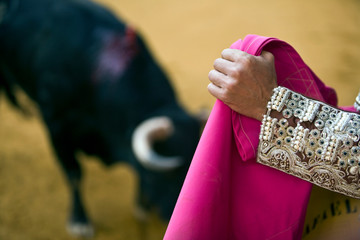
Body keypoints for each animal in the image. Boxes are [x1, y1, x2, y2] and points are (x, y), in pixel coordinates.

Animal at [0, 0, 205, 237]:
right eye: (157, 178)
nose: (180, 217)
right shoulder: (56, 126)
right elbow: (73, 173)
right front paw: (79, 220)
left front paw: (141, 206)